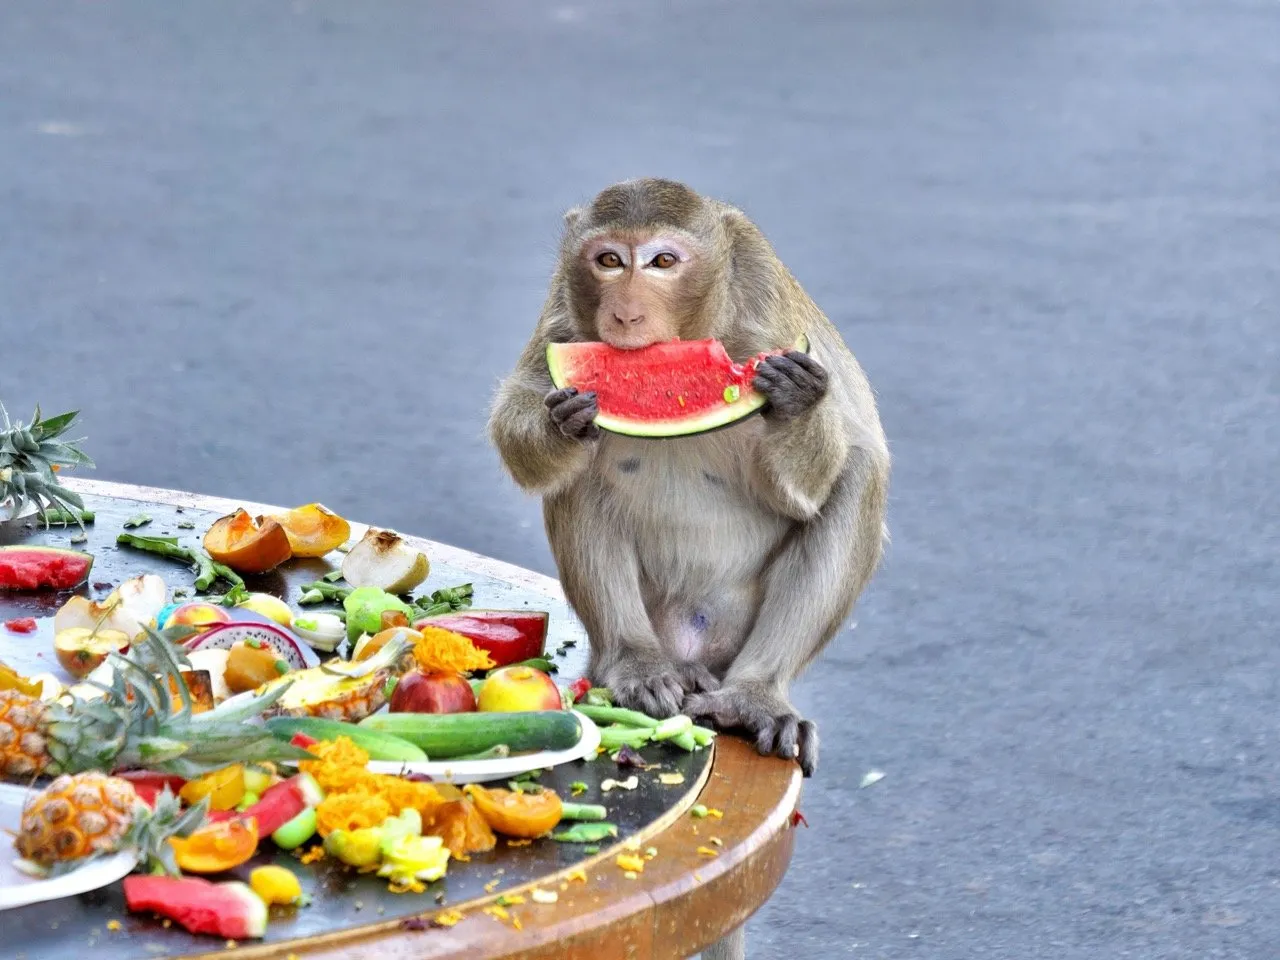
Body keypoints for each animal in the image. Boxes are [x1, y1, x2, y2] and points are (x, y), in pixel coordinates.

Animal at [487, 178, 889, 781]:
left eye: (662, 262)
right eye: (609, 260)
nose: (625, 314)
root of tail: (692, 649)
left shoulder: (768, 309)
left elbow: (814, 485)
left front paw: (797, 403)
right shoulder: (564, 309)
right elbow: (519, 416)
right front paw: (559, 423)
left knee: (858, 474)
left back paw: (753, 695)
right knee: (578, 479)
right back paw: (633, 663)